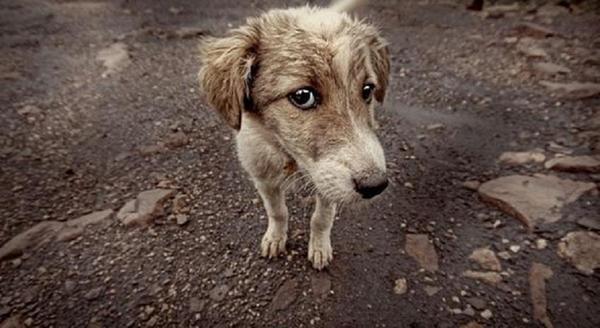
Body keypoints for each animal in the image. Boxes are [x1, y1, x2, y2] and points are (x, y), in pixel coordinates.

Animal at [199, 0, 392, 270]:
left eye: (367, 90)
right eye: (303, 96)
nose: (375, 185)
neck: (291, 158)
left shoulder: (326, 183)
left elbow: (321, 218)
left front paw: (319, 248)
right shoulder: (263, 178)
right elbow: (278, 211)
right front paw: (275, 238)